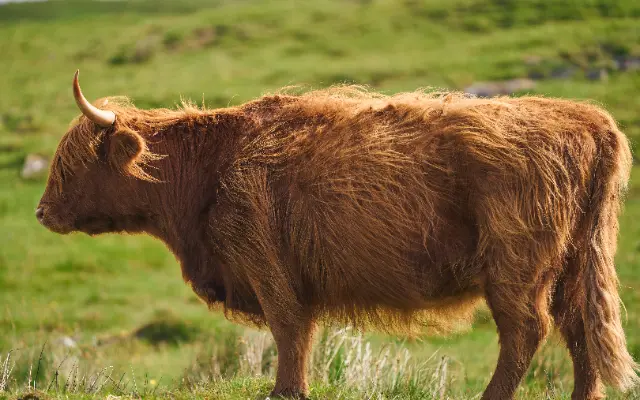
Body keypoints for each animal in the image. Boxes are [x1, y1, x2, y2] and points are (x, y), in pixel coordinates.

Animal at [36, 70, 638, 399]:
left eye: (70, 165)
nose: (41, 212)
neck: (209, 167)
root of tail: (587, 119)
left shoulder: (266, 263)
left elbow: (289, 329)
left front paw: (285, 390)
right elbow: (295, 331)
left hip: (516, 268)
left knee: (526, 332)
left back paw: (489, 397)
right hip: (574, 264)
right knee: (579, 328)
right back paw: (584, 396)